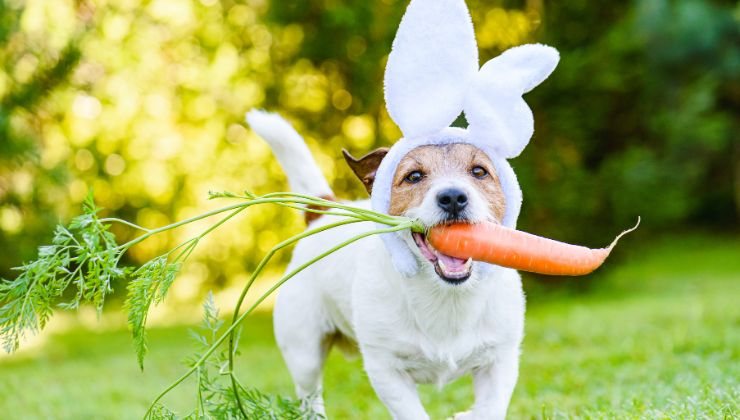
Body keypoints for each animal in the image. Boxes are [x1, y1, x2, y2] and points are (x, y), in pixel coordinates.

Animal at [246, 0, 556, 416]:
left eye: (479, 171)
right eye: (413, 176)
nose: (453, 197)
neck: (446, 296)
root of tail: (325, 211)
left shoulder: (501, 360)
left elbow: (490, 408)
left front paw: (467, 414)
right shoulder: (385, 369)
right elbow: (410, 410)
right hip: (304, 349)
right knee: (310, 395)